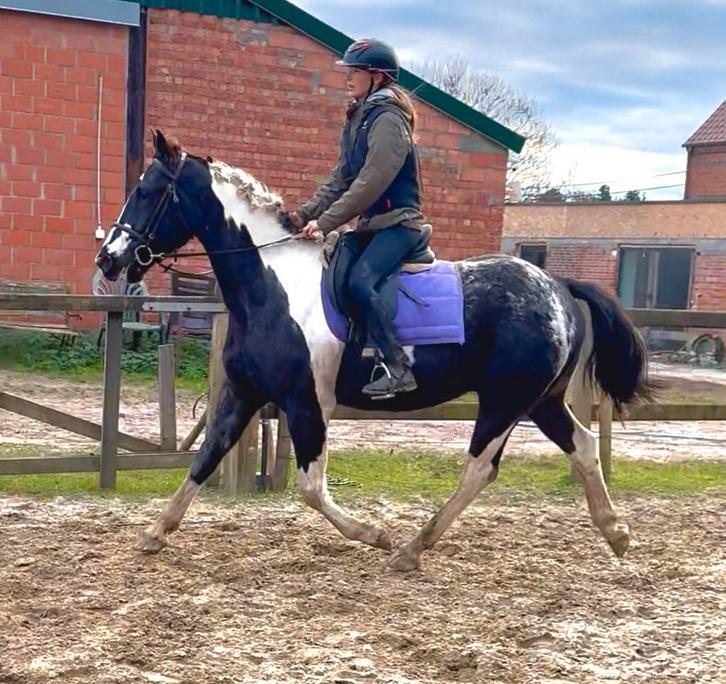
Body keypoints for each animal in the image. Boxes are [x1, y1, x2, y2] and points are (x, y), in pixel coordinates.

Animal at [95, 130, 652, 571]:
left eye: (146, 191)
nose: (107, 258)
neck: (273, 285)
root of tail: (556, 285)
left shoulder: (306, 402)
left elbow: (311, 488)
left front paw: (376, 534)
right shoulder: (244, 393)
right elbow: (205, 457)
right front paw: (156, 532)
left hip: (503, 401)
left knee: (480, 469)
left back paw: (409, 549)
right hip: (539, 400)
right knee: (582, 447)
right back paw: (617, 533)